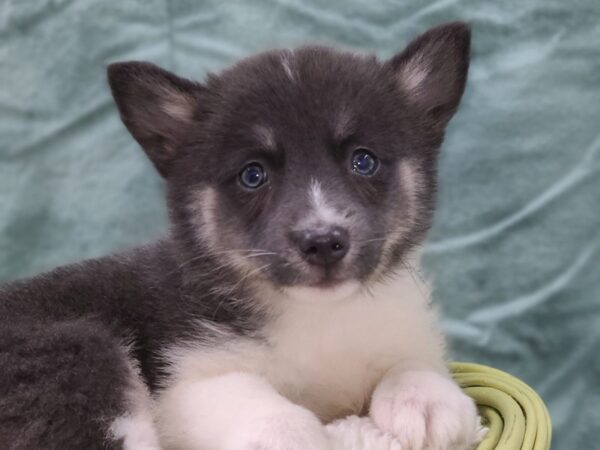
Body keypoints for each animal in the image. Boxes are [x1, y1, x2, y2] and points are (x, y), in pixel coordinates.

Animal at [0, 22, 482, 450]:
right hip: (79, 353)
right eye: (253, 174)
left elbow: (414, 361)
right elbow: (264, 406)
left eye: (363, 161)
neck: (318, 318)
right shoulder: (184, 385)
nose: (323, 242)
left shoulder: (408, 334)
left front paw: (427, 402)